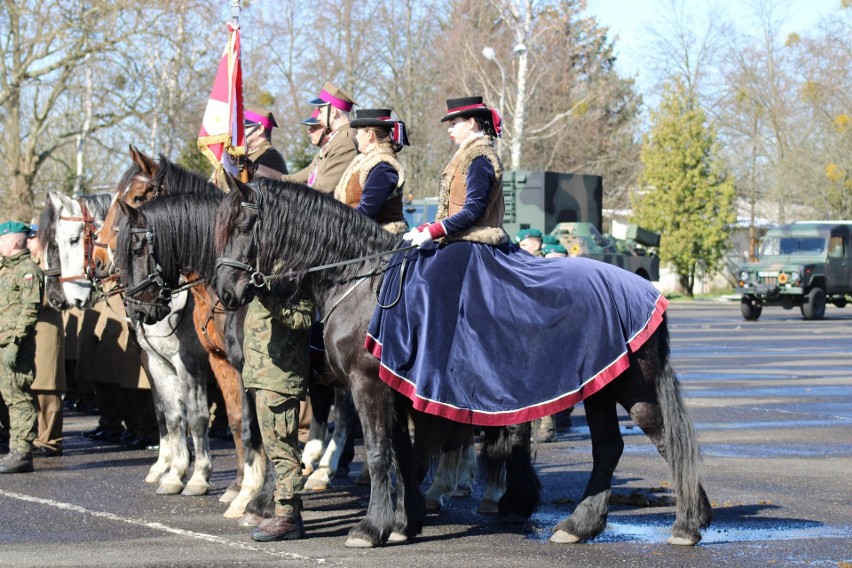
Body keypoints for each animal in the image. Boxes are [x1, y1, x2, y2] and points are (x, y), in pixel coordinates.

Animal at [213, 175, 712, 548]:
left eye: (243, 224)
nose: (225, 293)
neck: (360, 281)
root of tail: (646, 289)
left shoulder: (366, 385)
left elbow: (377, 452)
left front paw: (371, 527)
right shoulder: (397, 389)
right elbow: (403, 452)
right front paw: (405, 523)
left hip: (630, 387)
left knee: (664, 440)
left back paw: (686, 524)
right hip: (600, 389)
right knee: (612, 447)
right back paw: (584, 524)